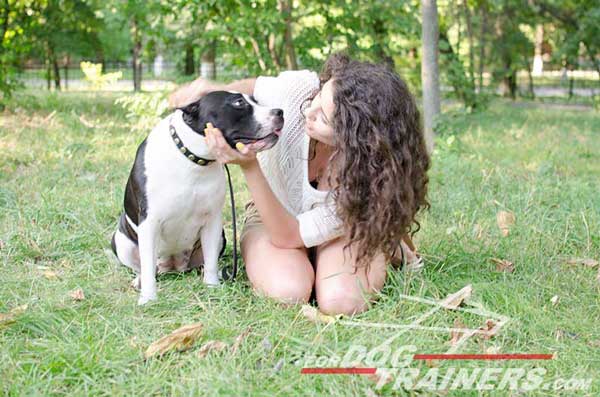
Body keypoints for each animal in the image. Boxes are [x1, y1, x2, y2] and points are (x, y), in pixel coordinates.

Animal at [112, 92, 284, 304]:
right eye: (238, 102)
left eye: (256, 100)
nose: (279, 111)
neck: (194, 160)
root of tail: (173, 266)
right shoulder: (149, 222)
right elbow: (147, 266)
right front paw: (148, 298)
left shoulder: (212, 221)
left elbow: (210, 260)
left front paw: (212, 286)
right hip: (121, 242)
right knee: (146, 267)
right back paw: (140, 280)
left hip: (220, 237)